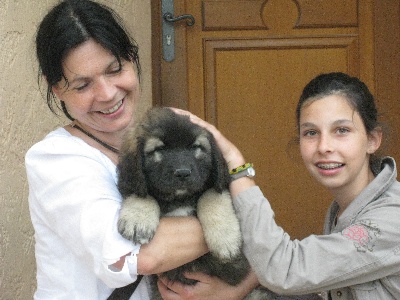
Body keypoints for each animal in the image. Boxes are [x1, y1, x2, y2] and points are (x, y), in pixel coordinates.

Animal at [114, 108, 274, 300]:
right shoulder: (137, 184)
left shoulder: (217, 185)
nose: (183, 173)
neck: (179, 199)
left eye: (195, 147)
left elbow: (211, 197)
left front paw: (225, 240)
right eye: (160, 149)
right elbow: (141, 193)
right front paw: (138, 219)